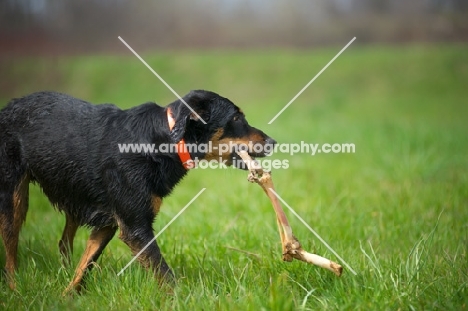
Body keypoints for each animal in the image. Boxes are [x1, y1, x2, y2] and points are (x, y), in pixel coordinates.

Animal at [0, 89, 276, 292]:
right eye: (236, 118)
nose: (273, 142)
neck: (166, 141)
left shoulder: (109, 224)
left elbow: (85, 265)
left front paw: (67, 297)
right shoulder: (135, 227)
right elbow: (165, 275)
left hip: (72, 195)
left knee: (64, 242)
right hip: (14, 196)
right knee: (11, 250)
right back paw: (14, 290)